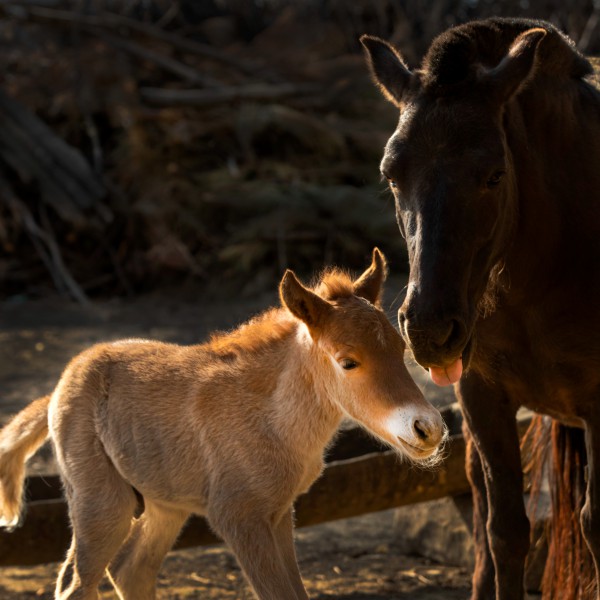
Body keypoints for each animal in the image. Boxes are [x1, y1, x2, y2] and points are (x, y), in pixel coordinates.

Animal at [0, 248, 440, 600]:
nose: (428, 428)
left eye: (401, 348)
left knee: (129, 570)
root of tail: (59, 385)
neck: (272, 421)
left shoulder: (279, 513)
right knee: (78, 583)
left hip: (165, 505)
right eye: (348, 361)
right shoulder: (239, 518)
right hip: (101, 502)